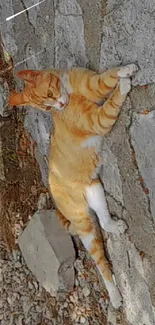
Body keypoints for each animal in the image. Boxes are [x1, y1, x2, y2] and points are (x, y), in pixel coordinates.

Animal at [9, 62, 138, 306]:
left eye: (49, 97)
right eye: (46, 107)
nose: (60, 105)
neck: (68, 90)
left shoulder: (92, 83)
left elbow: (107, 77)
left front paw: (124, 71)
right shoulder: (99, 119)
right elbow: (112, 99)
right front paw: (124, 83)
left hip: (95, 189)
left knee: (104, 221)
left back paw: (115, 226)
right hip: (85, 227)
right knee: (100, 262)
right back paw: (115, 296)